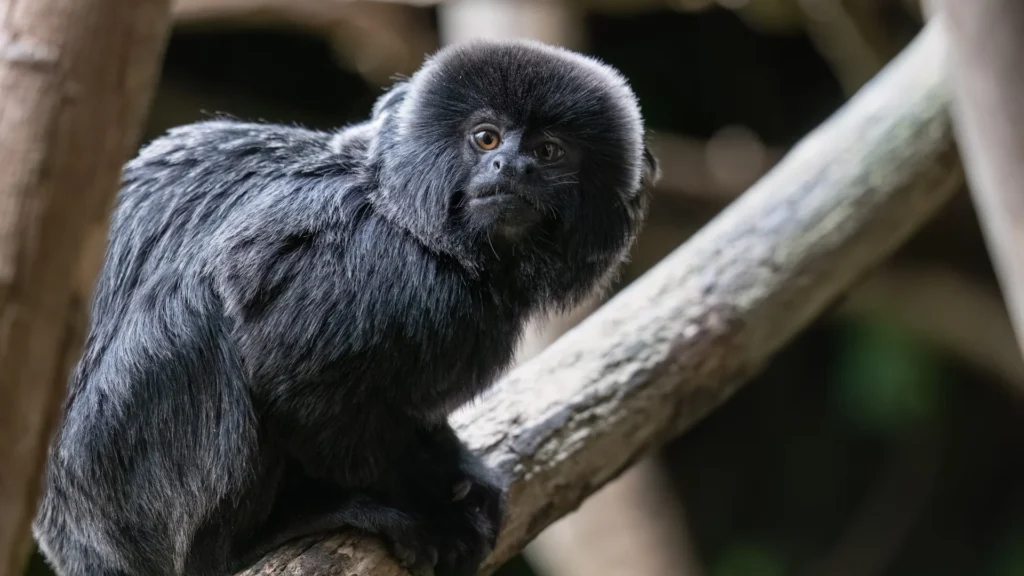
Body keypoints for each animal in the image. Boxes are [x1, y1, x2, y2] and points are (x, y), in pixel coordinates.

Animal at [32, 38, 658, 576]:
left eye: (548, 152)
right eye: (486, 139)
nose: (511, 168)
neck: (420, 230)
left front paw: (452, 464)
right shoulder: (373, 267)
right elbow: (294, 383)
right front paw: (429, 501)